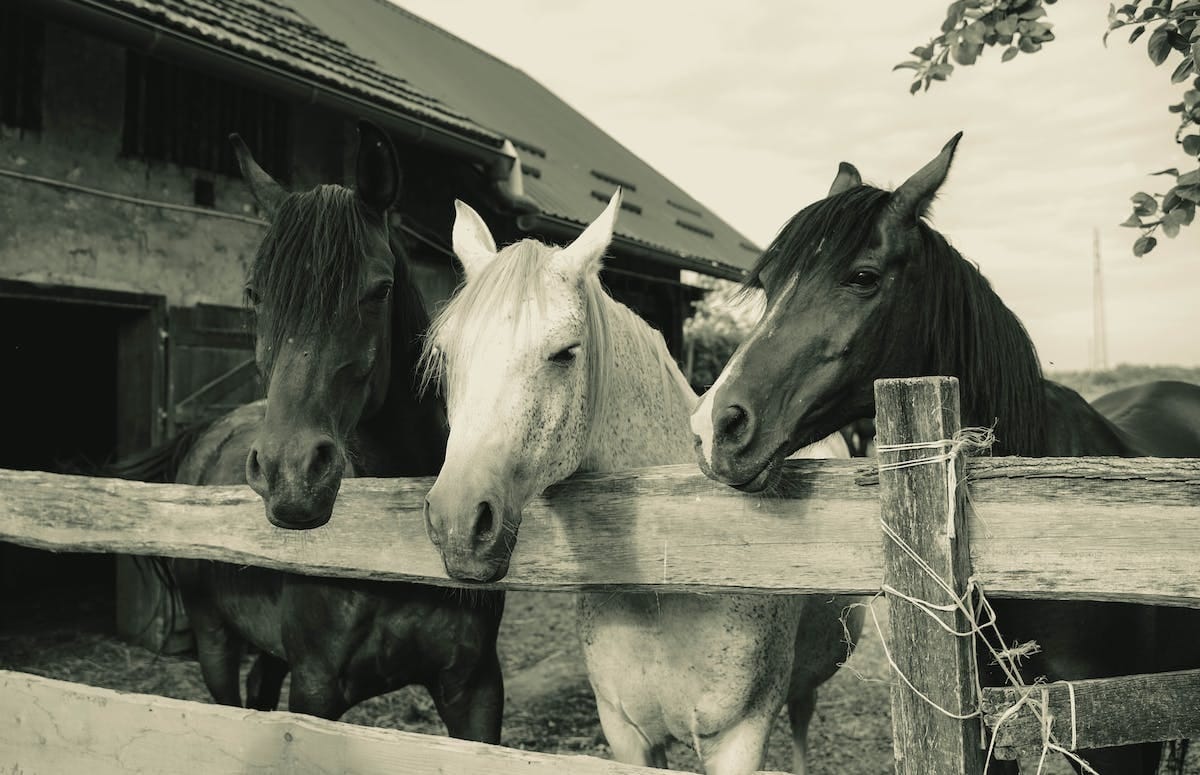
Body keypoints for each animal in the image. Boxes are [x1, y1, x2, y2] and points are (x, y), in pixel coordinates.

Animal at [422, 189, 864, 775]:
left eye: (566, 352)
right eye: (447, 354)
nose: (458, 522)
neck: (666, 583)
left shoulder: (739, 739)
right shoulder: (627, 732)